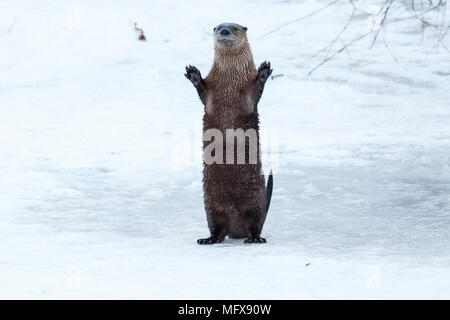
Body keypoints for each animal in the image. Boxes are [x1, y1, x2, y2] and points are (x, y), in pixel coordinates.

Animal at [185, 22, 272, 244]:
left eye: (234, 27)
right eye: (217, 27)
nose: (224, 31)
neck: (229, 82)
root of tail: (236, 229)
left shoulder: (247, 92)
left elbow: (256, 91)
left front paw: (264, 72)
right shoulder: (212, 91)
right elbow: (203, 92)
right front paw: (194, 75)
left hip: (255, 200)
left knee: (255, 224)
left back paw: (254, 238)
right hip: (211, 204)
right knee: (217, 227)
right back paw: (208, 239)